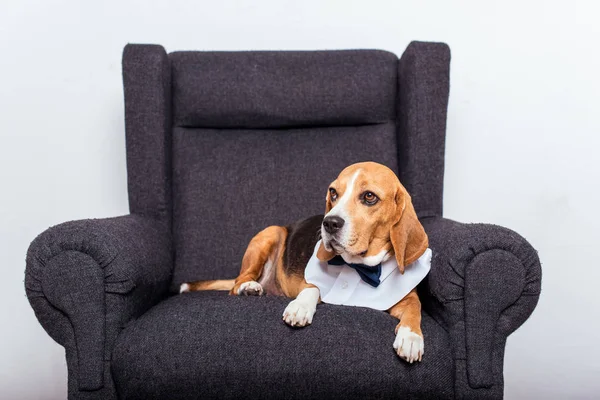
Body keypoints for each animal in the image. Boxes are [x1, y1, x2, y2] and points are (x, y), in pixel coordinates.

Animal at [180, 161, 428, 360]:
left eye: (369, 196)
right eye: (333, 193)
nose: (329, 223)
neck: (359, 266)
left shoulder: (406, 298)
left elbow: (415, 308)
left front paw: (411, 337)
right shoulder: (309, 281)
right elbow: (311, 288)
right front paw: (300, 307)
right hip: (271, 232)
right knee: (237, 283)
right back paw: (248, 287)